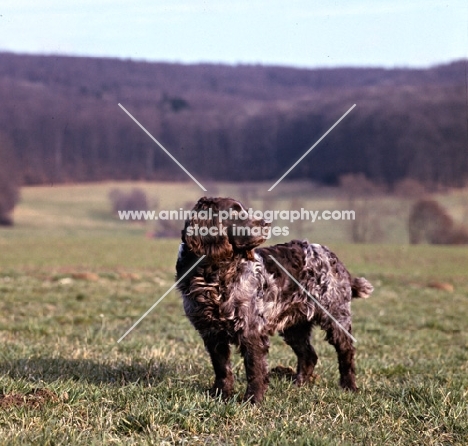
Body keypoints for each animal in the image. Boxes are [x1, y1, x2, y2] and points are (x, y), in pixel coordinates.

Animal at [176, 197, 372, 402]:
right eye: (235, 212)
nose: (267, 223)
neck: (214, 274)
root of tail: (334, 258)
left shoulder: (251, 330)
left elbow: (254, 369)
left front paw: (253, 400)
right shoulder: (211, 332)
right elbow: (222, 368)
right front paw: (221, 395)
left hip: (335, 317)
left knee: (346, 351)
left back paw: (349, 386)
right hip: (295, 327)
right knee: (309, 355)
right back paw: (299, 384)